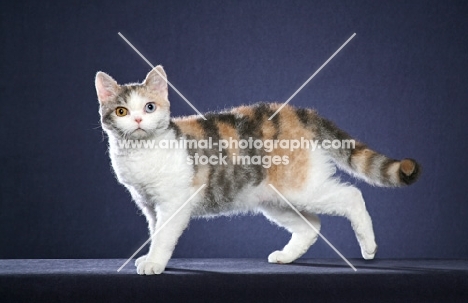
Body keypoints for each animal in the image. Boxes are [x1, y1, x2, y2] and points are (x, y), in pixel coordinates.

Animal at [95, 66, 420, 276]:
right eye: (122, 111)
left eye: (150, 107)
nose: (138, 120)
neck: (142, 151)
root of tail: (300, 112)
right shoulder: (149, 205)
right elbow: (155, 232)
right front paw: (155, 258)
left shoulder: (173, 203)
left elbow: (164, 235)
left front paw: (154, 263)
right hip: (273, 199)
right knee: (311, 225)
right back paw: (286, 256)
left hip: (302, 188)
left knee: (352, 195)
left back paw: (369, 247)